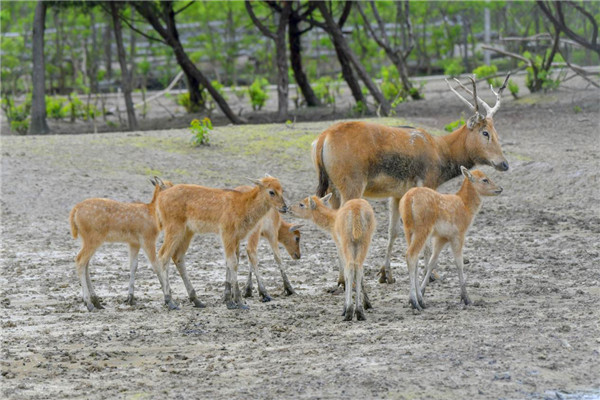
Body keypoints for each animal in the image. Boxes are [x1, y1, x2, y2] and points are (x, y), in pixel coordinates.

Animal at [71, 177, 173, 310]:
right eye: (171, 186)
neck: (153, 215)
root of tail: (74, 211)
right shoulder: (147, 238)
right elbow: (156, 265)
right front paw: (169, 300)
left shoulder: (134, 242)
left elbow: (133, 266)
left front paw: (130, 299)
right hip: (93, 237)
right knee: (80, 260)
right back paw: (89, 303)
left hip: (86, 238)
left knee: (85, 263)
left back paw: (96, 302)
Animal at [154, 174, 288, 310]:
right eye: (271, 191)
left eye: (282, 190)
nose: (284, 207)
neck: (243, 205)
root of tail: (160, 198)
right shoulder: (226, 234)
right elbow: (233, 262)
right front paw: (239, 302)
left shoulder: (235, 238)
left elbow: (232, 261)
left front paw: (229, 301)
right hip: (174, 229)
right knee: (163, 256)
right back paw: (170, 301)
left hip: (187, 232)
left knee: (178, 257)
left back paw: (197, 301)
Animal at [290, 194, 376, 322]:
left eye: (301, 204)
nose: (288, 208)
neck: (332, 222)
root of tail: (356, 213)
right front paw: (368, 304)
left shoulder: (338, 244)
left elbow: (345, 273)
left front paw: (345, 309)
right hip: (365, 240)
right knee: (359, 267)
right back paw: (360, 313)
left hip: (347, 241)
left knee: (350, 268)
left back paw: (349, 312)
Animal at [310, 73, 510, 282]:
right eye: (485, 132)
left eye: (496, 132)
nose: (504, 164)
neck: (441, 154)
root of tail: (322, 139)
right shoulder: (428, 182)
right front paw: (431, 274)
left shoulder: (397, 193)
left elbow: (393, 230)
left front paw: (386, 274)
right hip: (352, 183)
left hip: (332, 187)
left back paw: (341, 279)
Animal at [400, 167, 504, 310]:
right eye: (485, 179)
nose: (500, 188)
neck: (466, 207)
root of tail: (408, 199)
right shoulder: (458, 234)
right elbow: (459, 263)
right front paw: (466, 299)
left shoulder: (442, 237)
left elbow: (432, 262)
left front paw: (423, 290)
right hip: (423, 228)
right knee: (411, 255)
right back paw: (415, 302)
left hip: (408, 229)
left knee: (414, 258)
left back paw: (419, 300)